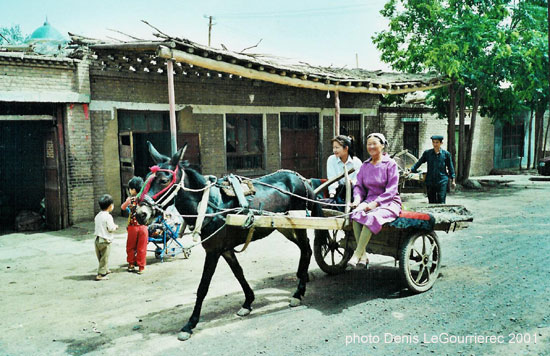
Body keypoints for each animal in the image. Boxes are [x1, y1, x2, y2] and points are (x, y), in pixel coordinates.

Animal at [135, 140, 324, 340]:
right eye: (146, 178)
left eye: (164, 180)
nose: (140, 214)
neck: (209, 206)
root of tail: (303, 179)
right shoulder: (225, 249)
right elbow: (239, 273)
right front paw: (248, 302)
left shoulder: (213, 251)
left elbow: (203, 286)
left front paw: (190, 324)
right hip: (284, 227)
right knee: (305, 249)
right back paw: (301, 280)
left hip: (298, 222)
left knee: (306, 250)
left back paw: (298, 292)